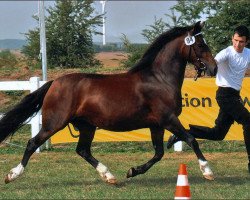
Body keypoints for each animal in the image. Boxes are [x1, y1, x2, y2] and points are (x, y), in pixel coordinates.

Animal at [0, 21, 217, 184]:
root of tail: (54, 83)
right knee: (33, 143)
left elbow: (159, 153)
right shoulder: (168, 119)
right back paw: (12, 175)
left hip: (86, 126)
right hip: (54, 123)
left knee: (83, 150)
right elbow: (191, 139)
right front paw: (207, 171)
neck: (159, 79)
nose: (214, 68)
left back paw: (109, 176)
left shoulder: (156, 125)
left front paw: (132, 171)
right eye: (200, 45)